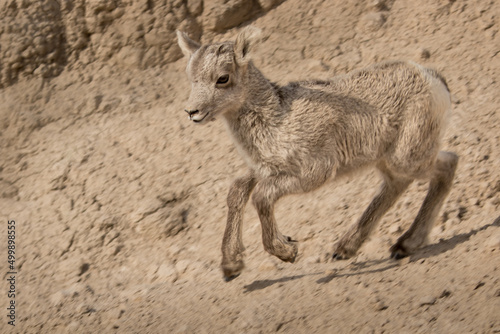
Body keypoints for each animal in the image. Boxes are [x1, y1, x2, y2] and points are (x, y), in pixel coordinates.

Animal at [176, 27, 458, 280]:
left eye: (222, 78)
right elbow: (237, 190)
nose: (192, 112)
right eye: (192, 78)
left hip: (408, 156)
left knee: (447, 163)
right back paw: (350, 248)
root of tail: (434, 78)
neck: (278, 120)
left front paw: (287, 251)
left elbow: (261, 196)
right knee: (396, 185)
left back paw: (405, 244)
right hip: (388, 160)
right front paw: (231, 267)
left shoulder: (315, 171)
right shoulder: (266, 168)